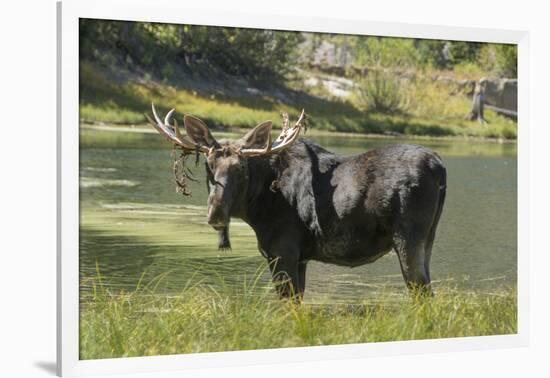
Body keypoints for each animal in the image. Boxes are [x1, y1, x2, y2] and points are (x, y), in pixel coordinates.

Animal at [148, 103, 448, 298]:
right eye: (208, 166)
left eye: (242, 168)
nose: (216, 212)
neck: (256, 209)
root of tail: (438, 165)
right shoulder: (300, 258)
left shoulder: (283, 251)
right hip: (429, 239)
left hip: (408, 237)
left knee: (421, 292)